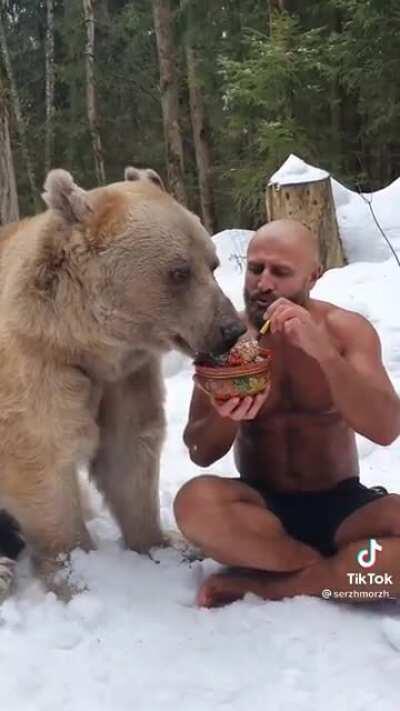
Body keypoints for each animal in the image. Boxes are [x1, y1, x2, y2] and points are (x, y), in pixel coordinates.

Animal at [0, 167, 244, 599]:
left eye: (212, 264)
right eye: (178, 271)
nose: (230, 329)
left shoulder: (125, 376)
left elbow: (129, 450)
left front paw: (167, 544)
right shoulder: (38, 369)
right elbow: (43, 461)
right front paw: (77, 574)